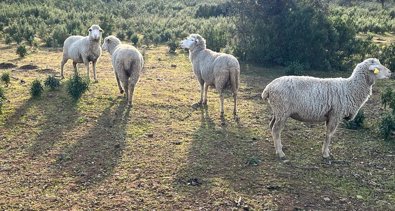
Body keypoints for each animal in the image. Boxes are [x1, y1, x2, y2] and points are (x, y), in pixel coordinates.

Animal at [262, 57, 392, 158]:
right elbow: (329, 135)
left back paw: (279, 146)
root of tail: (268, 88)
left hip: (277, 111)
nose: (391, 73)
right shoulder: (335, 114)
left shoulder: (330, 115)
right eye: (378, 67)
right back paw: (280, 153)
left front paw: (326, 151)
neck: (351, 88)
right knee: (276, 129)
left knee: (272, 126)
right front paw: (325, 154)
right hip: (282, 111)